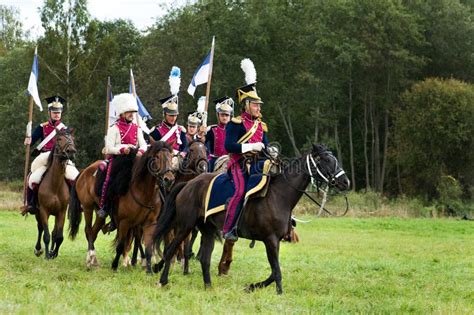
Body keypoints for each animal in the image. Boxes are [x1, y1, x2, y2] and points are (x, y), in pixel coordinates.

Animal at [33, 130, 76, 260]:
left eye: (73, 138)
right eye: (59, 139)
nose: (71, 151)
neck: (55, 185)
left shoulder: (61, 212)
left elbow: (59, 236)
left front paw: (53, 253)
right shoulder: (43, 210)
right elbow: (46, 235)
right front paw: (47, 255)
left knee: (54, 232)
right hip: (38, 213)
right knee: (40, 228)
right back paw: (38, 249)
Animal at [154, 144, 350, 296]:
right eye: (325, 160)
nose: (345, 182)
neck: (279, 195)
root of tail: (188, 184)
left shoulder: (275, 241)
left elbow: (273, 271)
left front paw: (252, 287)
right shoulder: (270, 240)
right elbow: (276, 271)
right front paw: (279, 293)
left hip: (207, 229)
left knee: (205, 258)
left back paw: (208, 287)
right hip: (185, 226)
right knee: (171, 249)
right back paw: (162, 280)